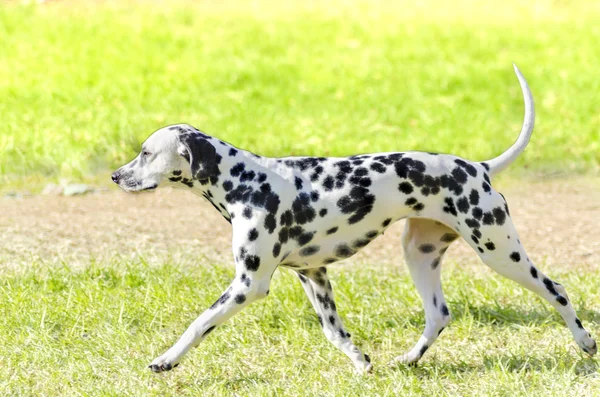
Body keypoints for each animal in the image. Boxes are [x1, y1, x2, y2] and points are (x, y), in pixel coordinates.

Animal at [111, 65, 596, 372]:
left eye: (146, 153)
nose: (116, 175)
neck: (247, 182)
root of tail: (478, 167)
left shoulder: (249, 285)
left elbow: (198, 324)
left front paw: (166, 360)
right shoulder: (312, 275)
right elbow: (334, 333)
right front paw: (362, 362)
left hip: (500, 252)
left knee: (556, 289)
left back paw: (585, 342)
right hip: (419, 255)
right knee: (438, 315)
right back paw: (409, 360)